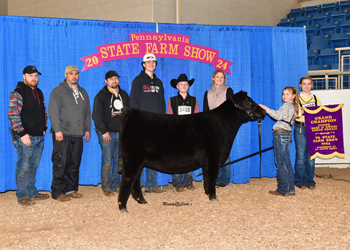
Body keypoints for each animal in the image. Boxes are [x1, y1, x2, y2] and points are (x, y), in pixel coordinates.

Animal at [117, 91, 266, 212]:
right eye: (248, 102)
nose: (264, 112)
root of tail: (132, 112)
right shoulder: (214, 156)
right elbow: (212, 176)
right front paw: (213, 197)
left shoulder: (207, 160)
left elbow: (207, 177)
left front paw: (208, 193)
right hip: (132, 159)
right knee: (128, 179)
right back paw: (123, 207)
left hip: (138, 161)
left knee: (135, 180)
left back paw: (141, 201)